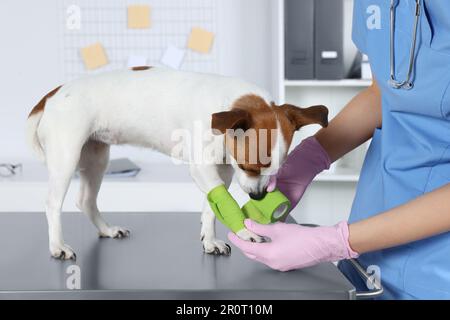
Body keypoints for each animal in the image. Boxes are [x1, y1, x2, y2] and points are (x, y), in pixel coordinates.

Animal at [26, 67, 326, 260]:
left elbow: (212, 205)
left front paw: (210, 240)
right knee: (53, 204)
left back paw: (106, 230)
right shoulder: (205, 168)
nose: (259, 195)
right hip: (67, 158)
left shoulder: (222, 171)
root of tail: (52, 96)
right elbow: (224, 202)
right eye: (248, 167)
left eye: (276, 172)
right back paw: (57, 246)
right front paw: (245, 231)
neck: (225, 104)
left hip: (97, 158)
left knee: (86, 200)